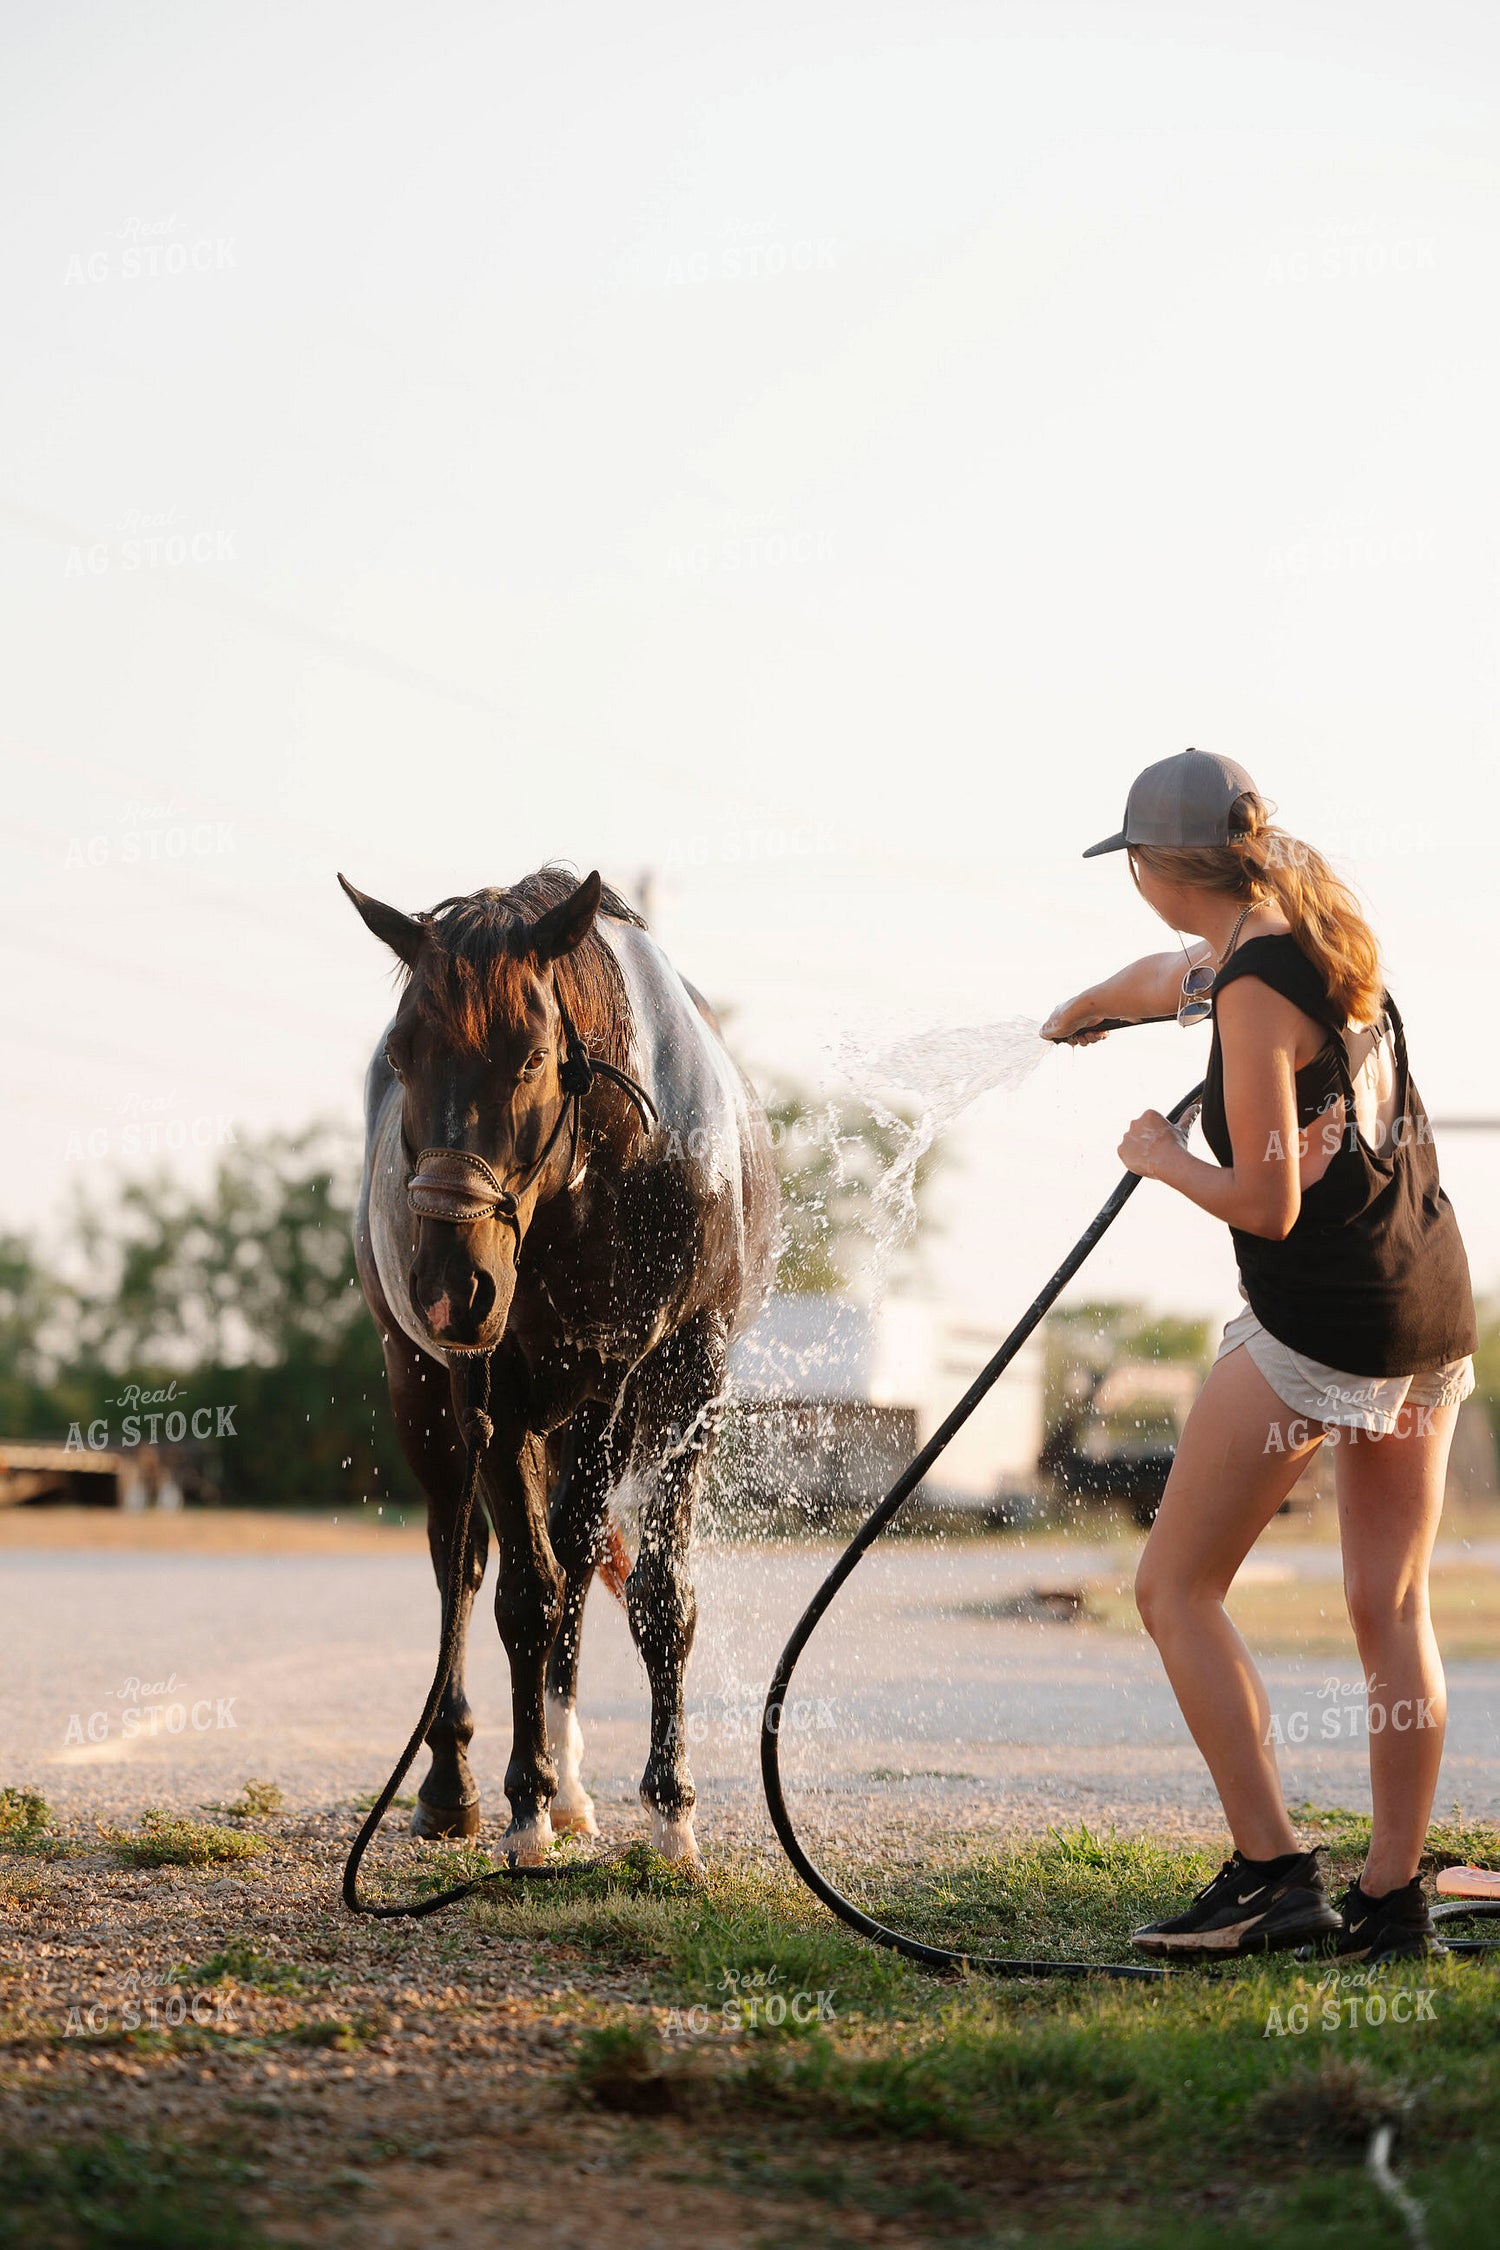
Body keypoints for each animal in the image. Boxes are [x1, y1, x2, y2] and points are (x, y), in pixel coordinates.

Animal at [342, 865, 778, 1862]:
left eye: (535, 1056)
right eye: (402, 1054)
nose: (449, 1288)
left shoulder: (673, 1375)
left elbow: (654, 1593)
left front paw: (670, 1810)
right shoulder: (490, 1386)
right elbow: (524, 1596)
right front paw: (525, 1806)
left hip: (588, 1410)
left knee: (576, 1557)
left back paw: (576, 1784)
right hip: (421, 1387)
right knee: (461, 1564)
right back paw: (454, 1785)